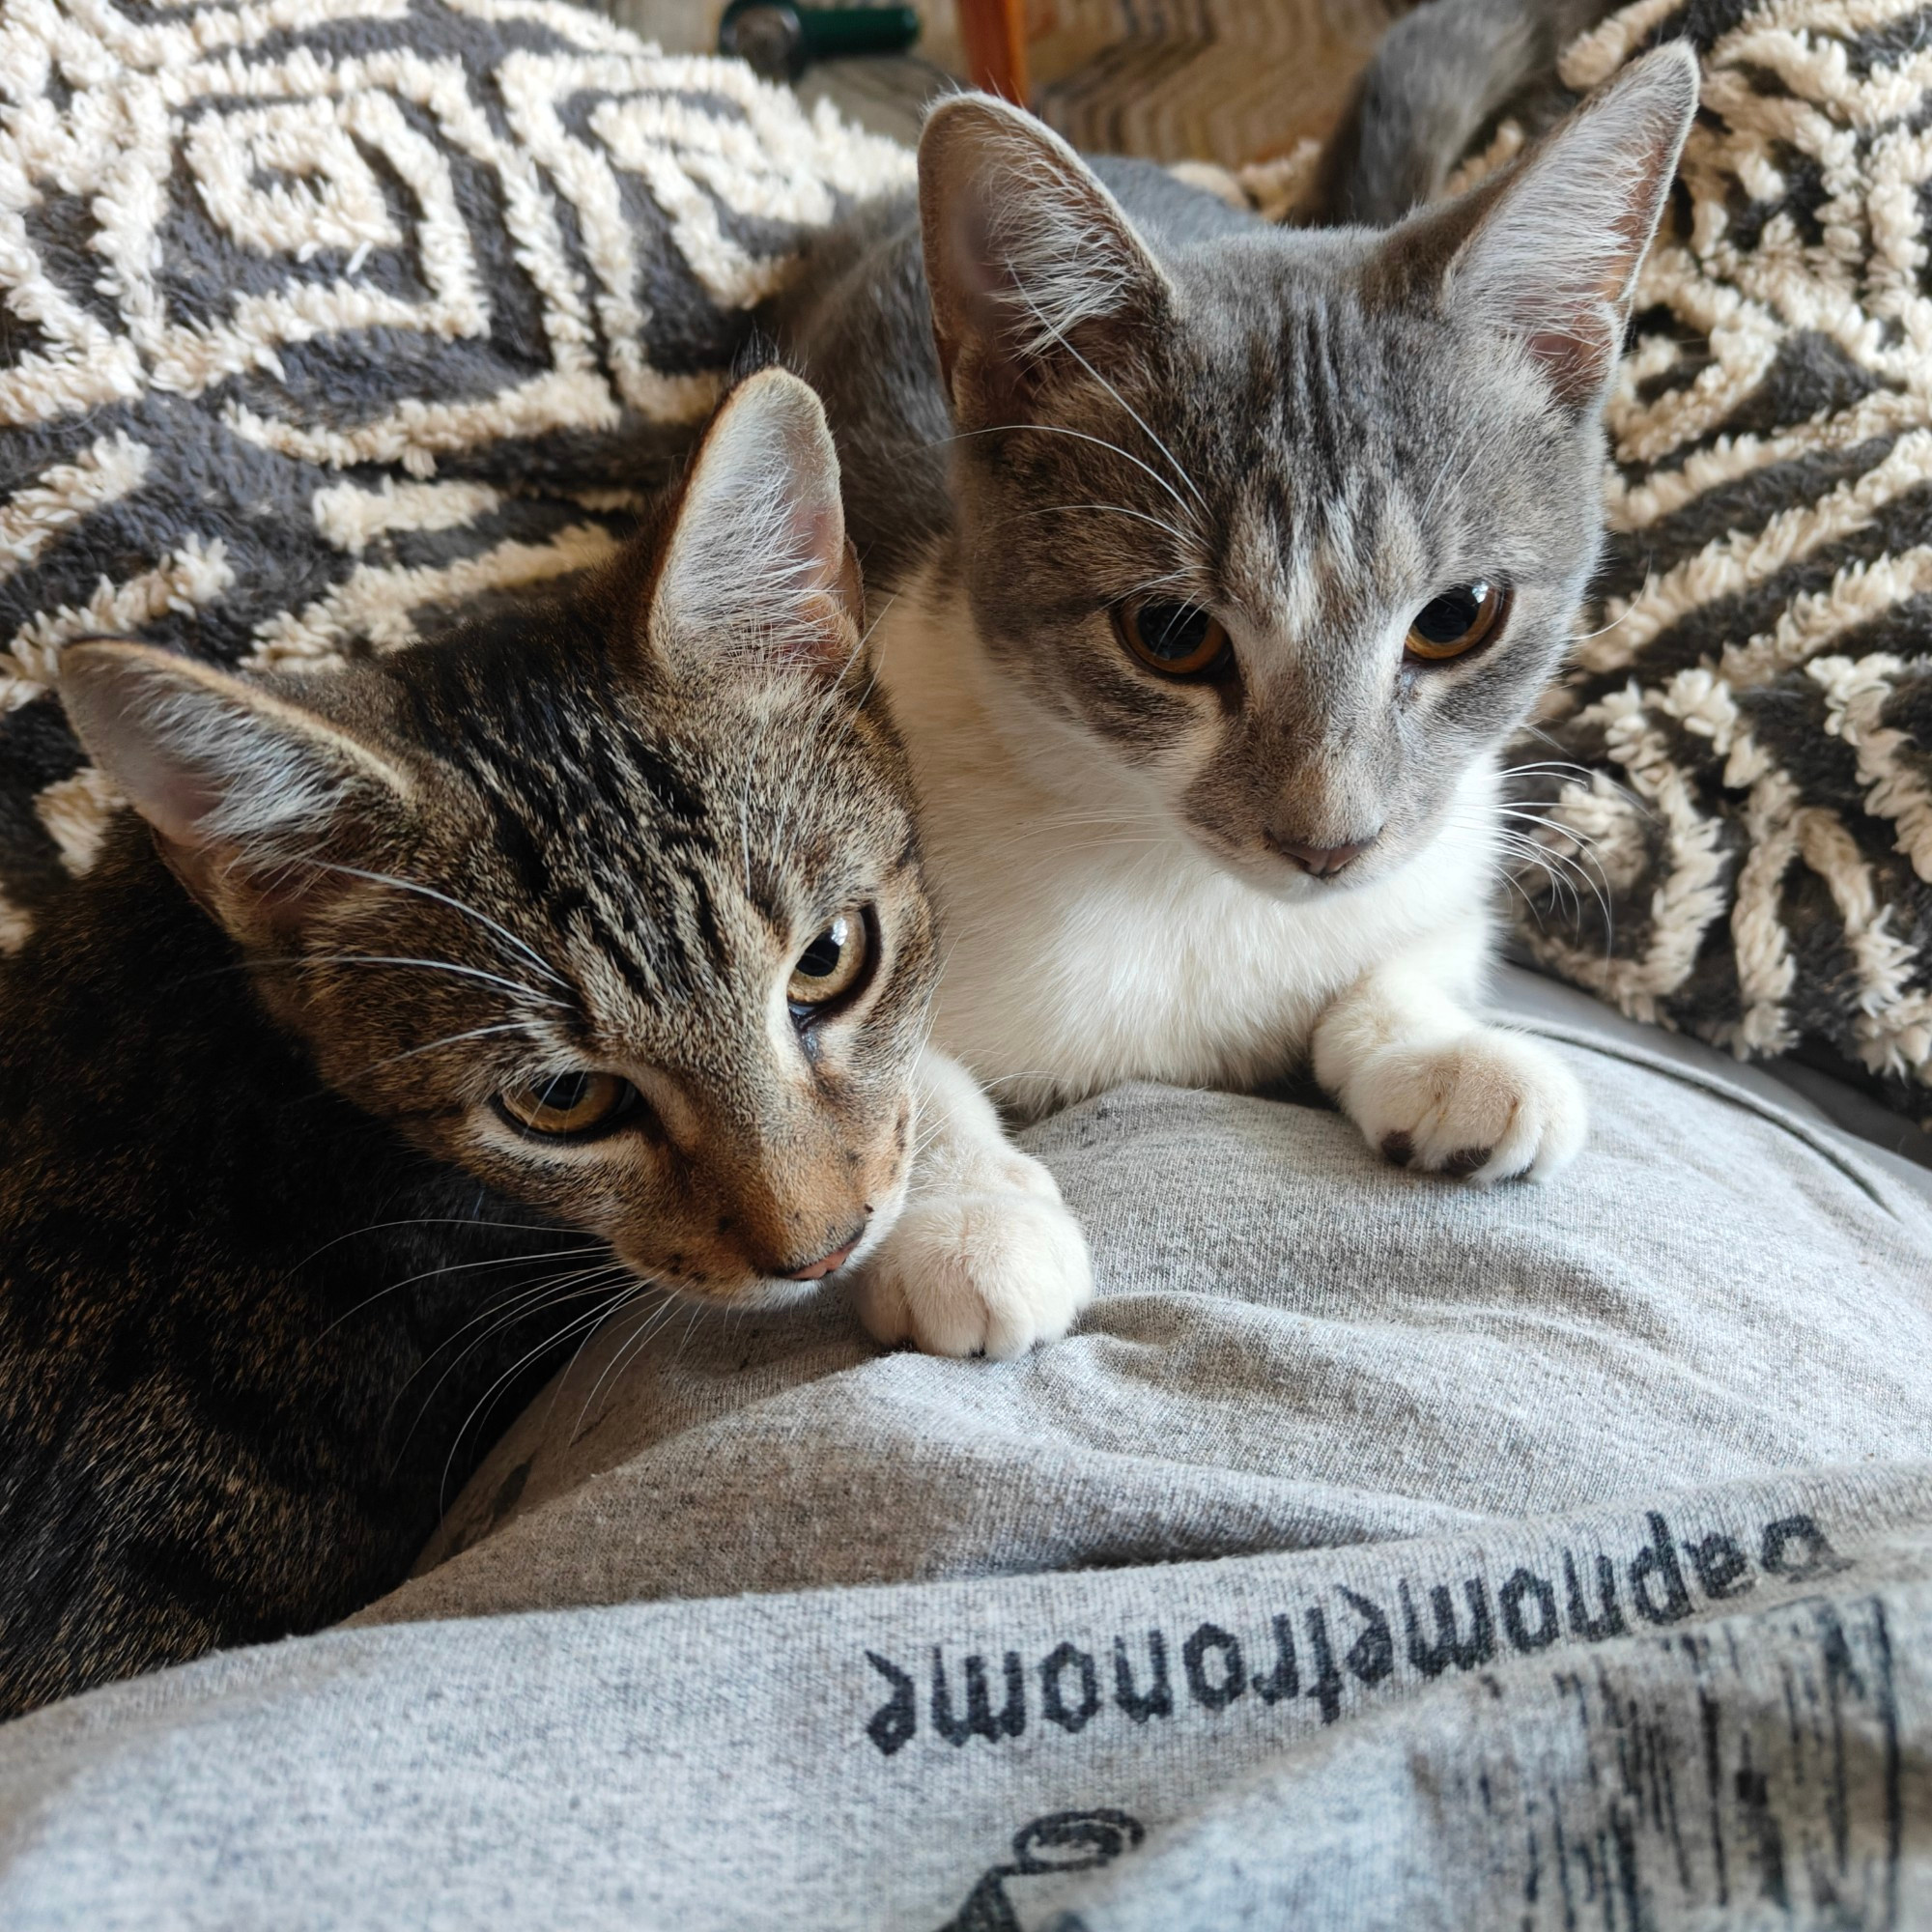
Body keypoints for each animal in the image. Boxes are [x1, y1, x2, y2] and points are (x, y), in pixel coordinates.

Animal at [777, 45, 1700, 1352]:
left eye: (1457, 614)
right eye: (1171, 635)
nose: (1329, 840)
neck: (1183, 882)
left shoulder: (1447, 838)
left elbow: (1409, 944)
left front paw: (1441, 1049)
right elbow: (871, 1063)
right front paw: (967, 1218)